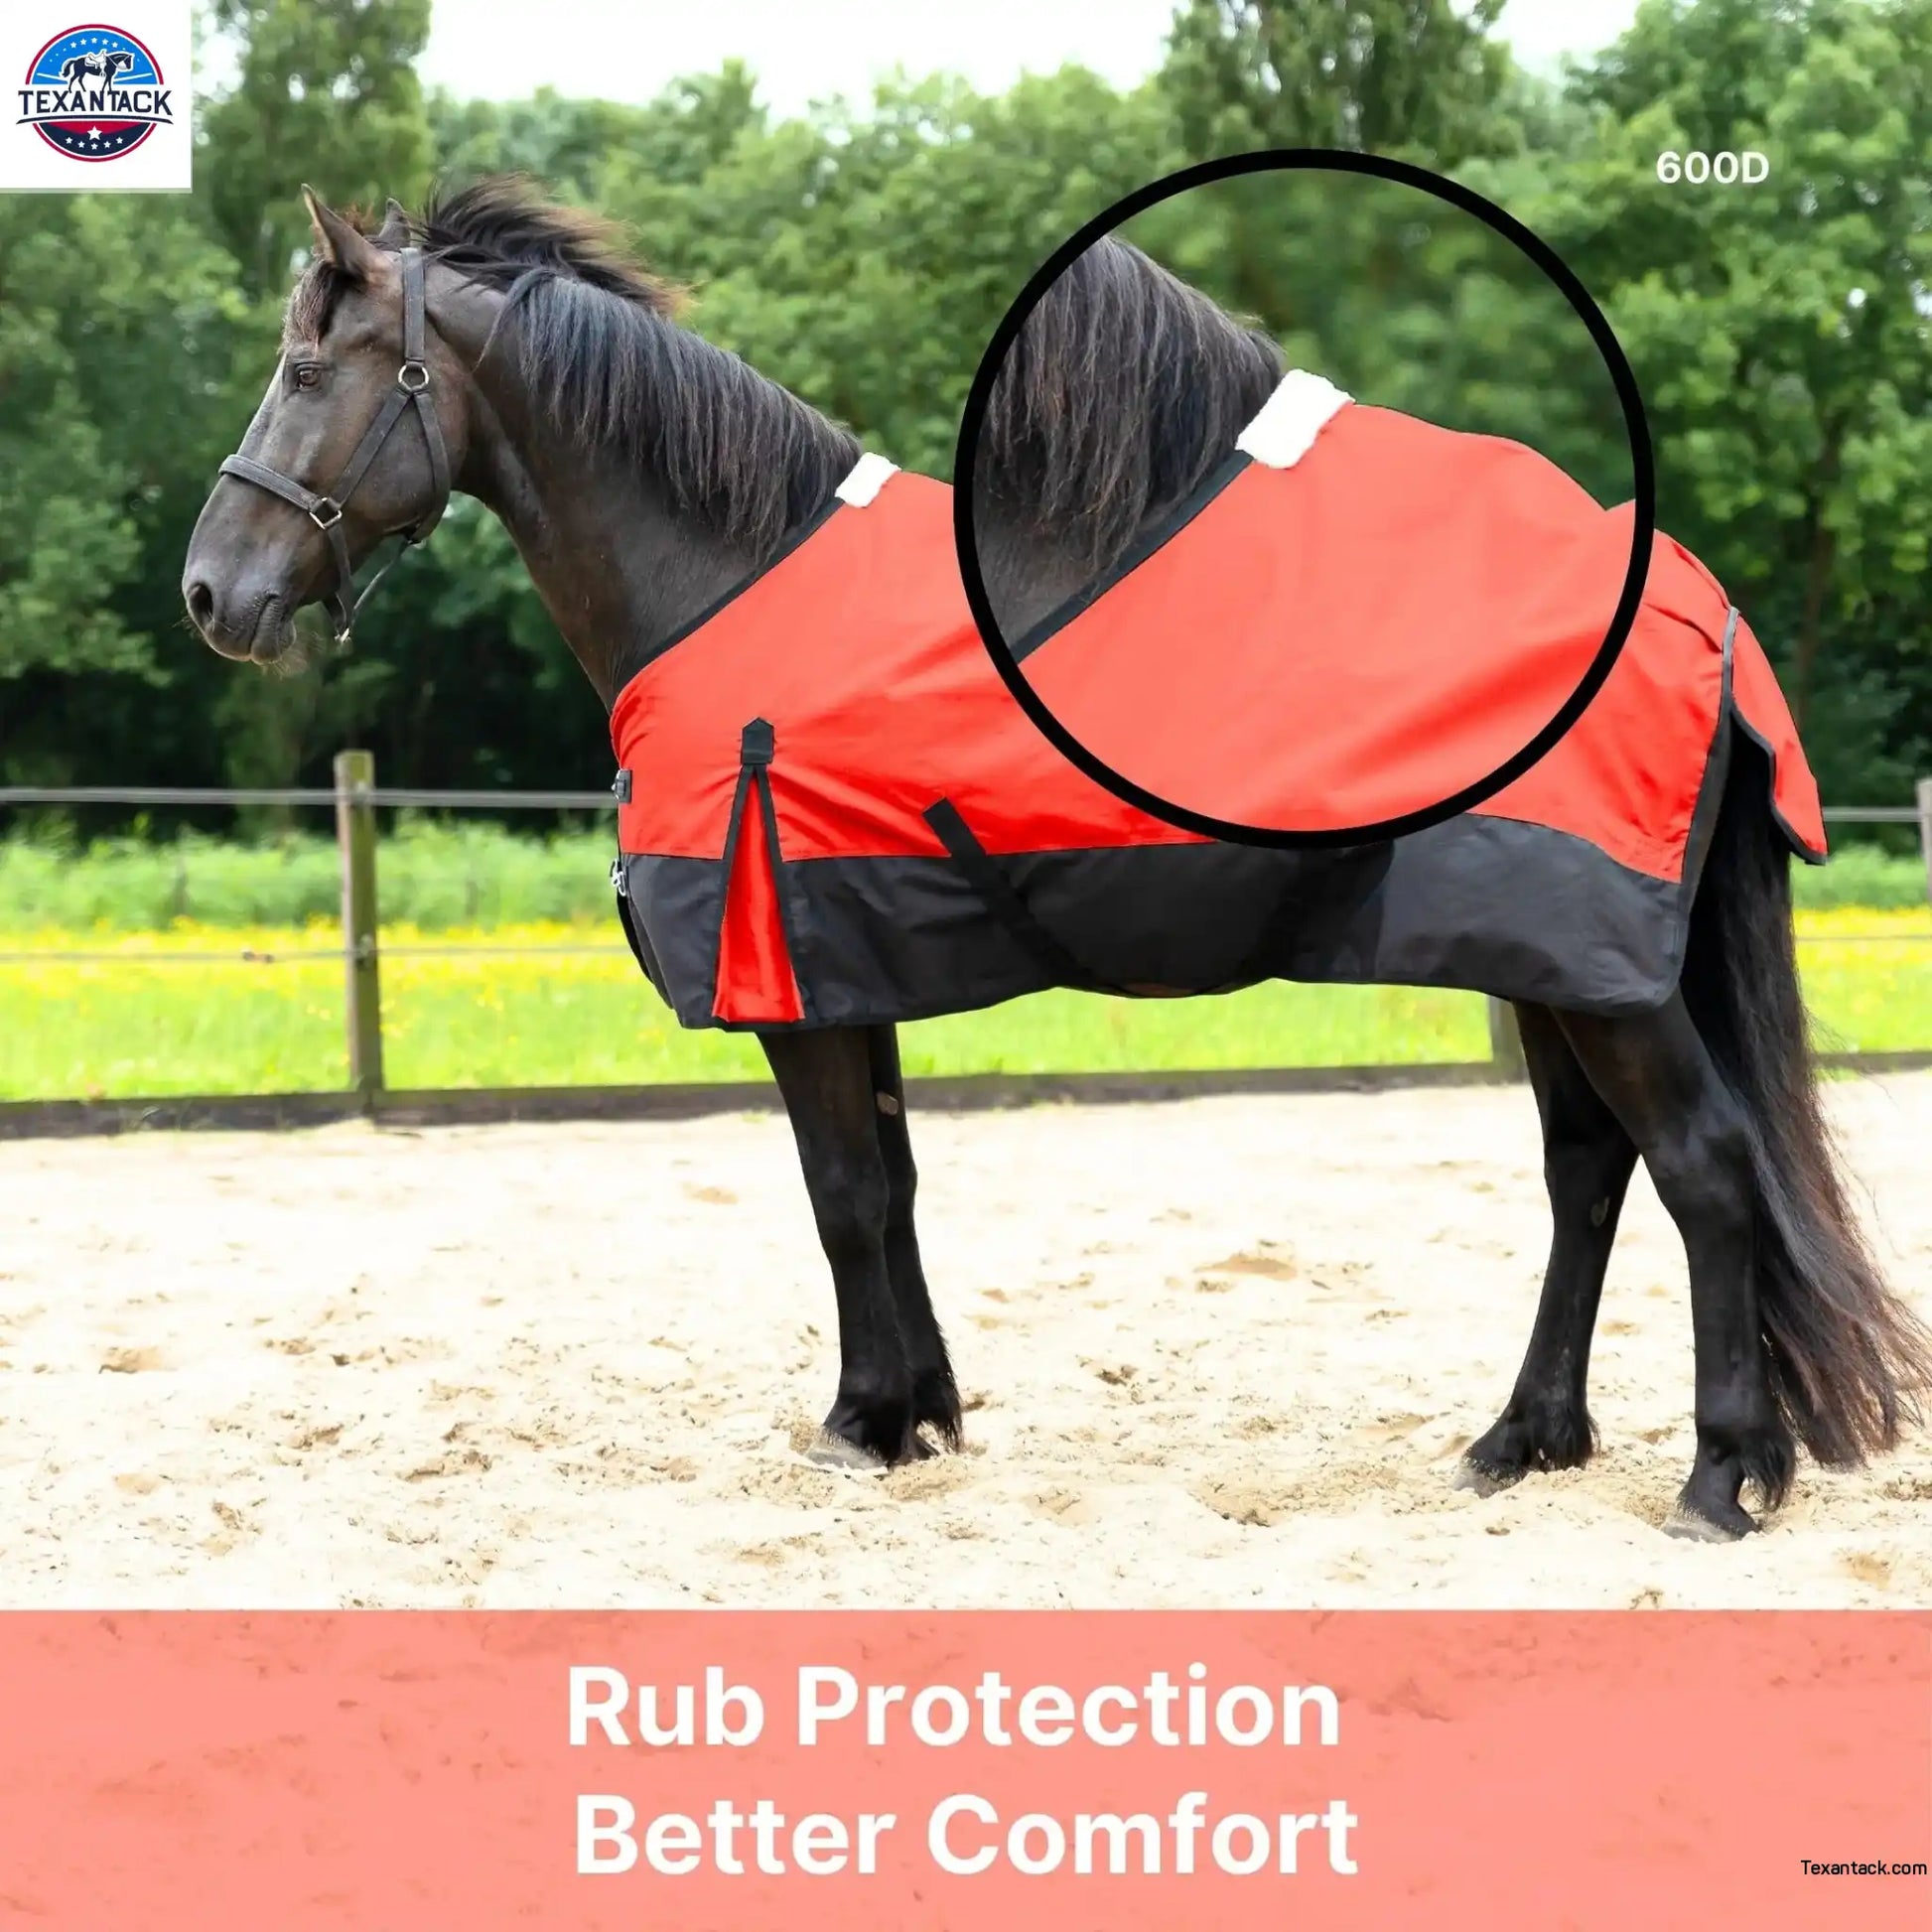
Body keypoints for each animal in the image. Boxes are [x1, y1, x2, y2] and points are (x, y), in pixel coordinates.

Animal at [182, 180, 1931, 1541]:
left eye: (303, 365)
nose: (212, 591)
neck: (726, 575)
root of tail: (1695, 602)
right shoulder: (849, 963)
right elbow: (887, 1185)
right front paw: (920, 1412)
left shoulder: (795, 982)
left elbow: (837, 1194)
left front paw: (859, 1423)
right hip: (1550, 959)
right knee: (1588, 1173)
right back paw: (1518, 1443)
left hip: (1596, 969)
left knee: (1702, 1169)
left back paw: (1719, 1478)